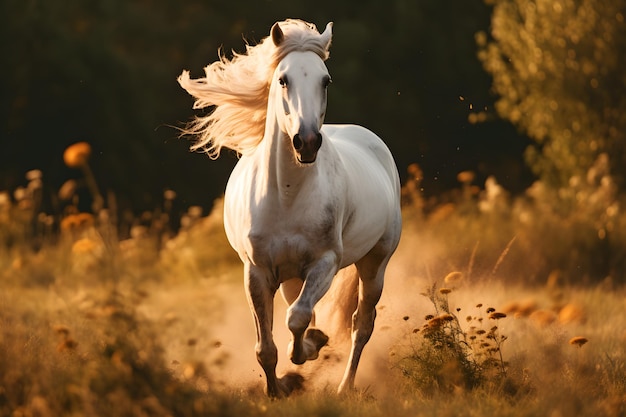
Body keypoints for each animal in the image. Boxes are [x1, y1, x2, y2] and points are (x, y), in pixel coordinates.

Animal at [177, 19, 400, 396]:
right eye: (283, 79)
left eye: (325, 80)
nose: (306, 142)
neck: (286, 195)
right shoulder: (257, 272)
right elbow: (266, 345)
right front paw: (276, 389)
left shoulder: (324, 263)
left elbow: (297, 318)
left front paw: (307, 352)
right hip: (292, 277)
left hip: (375, 262)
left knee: (361, 324)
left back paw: (344, 386)